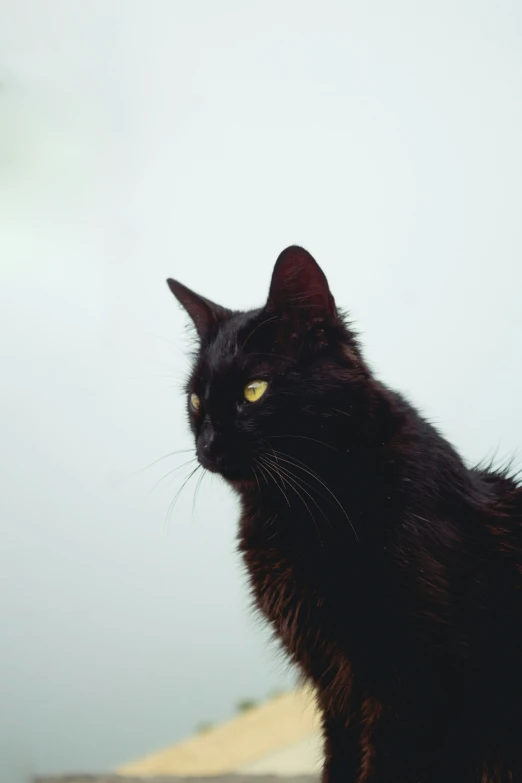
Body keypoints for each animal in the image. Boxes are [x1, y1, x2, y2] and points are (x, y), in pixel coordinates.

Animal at [167, 247, 520, 783]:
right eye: (195, 401)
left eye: (254, 391)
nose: (206, 445)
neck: (296, 505)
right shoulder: (334, 683)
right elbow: (341, 761)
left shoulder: (411, 680)